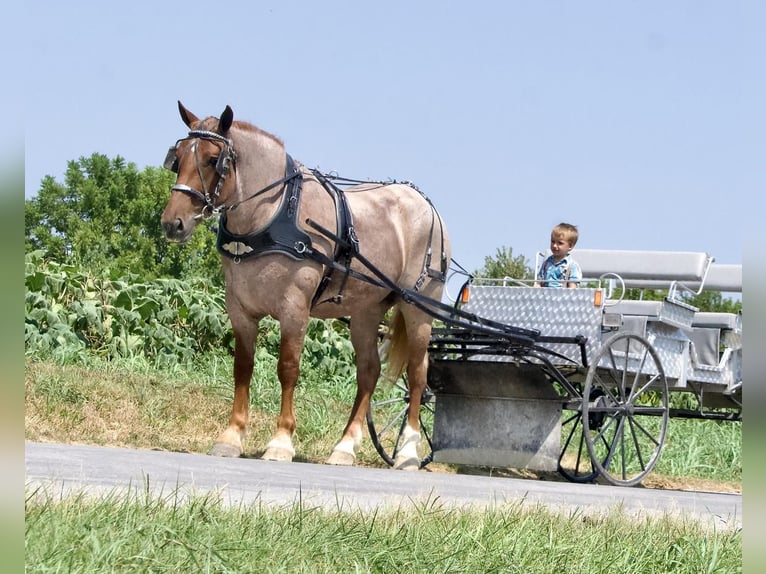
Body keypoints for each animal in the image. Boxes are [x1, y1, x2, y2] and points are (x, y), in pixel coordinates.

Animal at [160, 104, 450, 472]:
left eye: (214, 160)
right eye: (178, 156)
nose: (173, 223)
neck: (272, 213)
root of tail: (426, 205)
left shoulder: (294, 309)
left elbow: (288, 368)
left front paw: (281, 441)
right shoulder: (239, 309)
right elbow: (242, 367)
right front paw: (231, 437)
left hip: (418, 309)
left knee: (417, 374)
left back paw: (408, 451)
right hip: (365, 312)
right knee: (369, 371)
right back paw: (345, 447)